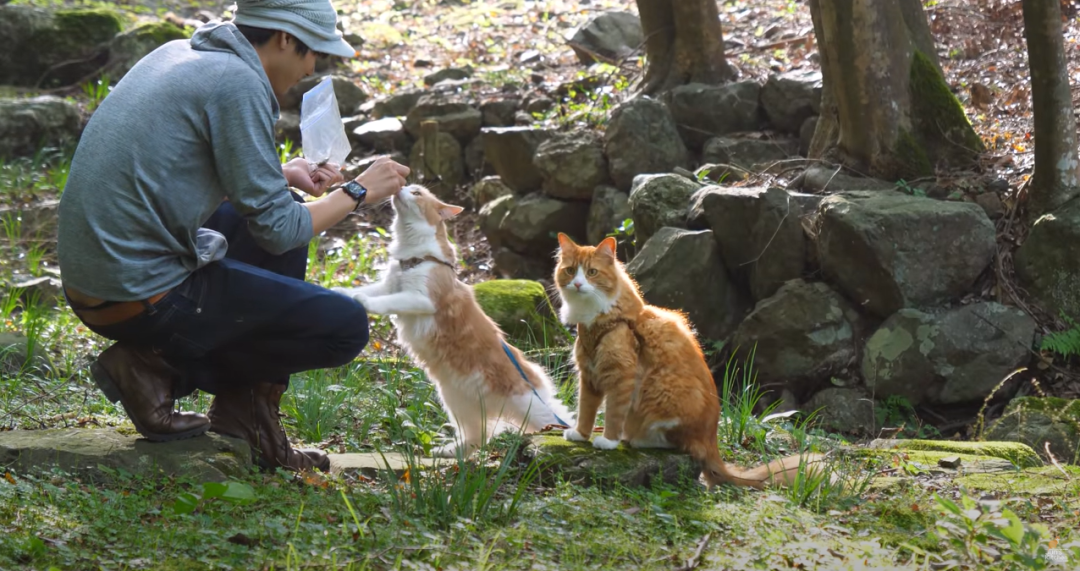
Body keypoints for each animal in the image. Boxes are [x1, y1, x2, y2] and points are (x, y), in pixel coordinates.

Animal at [334, 184, 574, 455]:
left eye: (416, 192)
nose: (401, 186)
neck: (414, 255)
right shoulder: (389, 285)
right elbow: (368, 290)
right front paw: (341, 291)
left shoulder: (419, 299)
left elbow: (384, 301)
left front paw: (363, 301)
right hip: (455, 402)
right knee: (479, 436)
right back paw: (451, 452)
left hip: (525, 405)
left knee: (551, 423)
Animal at [552, 233, 820, 490]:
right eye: (570, 270)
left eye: (592, 272)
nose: (577, 283)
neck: (598, 319)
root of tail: (711, 441)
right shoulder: (589, 375)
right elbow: (586, 409)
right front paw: (581, 434)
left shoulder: (621, 375)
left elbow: (613, 414)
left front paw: (608, 440)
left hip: (664, 394)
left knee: (681, 445)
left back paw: (637, 439)